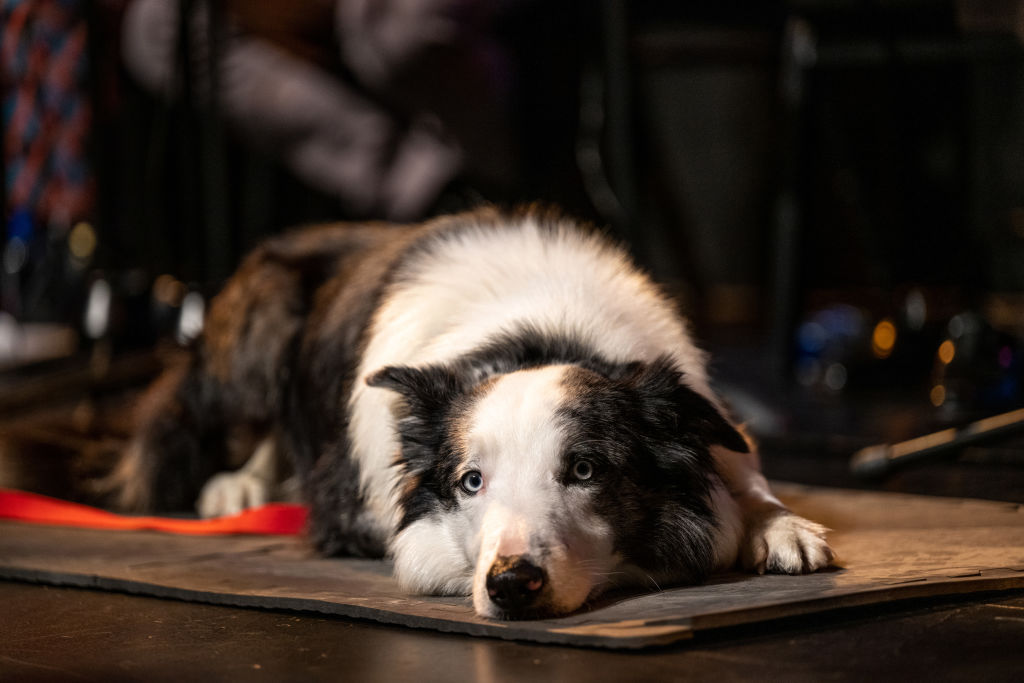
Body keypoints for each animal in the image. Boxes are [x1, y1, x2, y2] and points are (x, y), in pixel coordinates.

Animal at [110, 204, 831, 618]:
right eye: (471, 481)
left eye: (585, 470)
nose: (512, 583)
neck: (538, 330)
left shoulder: (706, 412)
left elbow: (743, 474)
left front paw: (780, 525)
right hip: (256, 335)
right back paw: (242, 482)